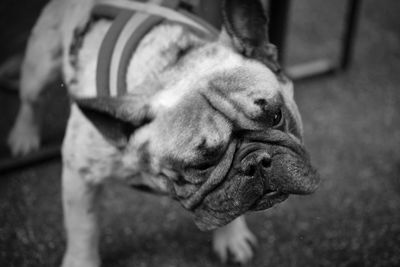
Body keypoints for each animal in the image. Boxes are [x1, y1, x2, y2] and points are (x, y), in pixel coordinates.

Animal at [7, 0, 318, 264]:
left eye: (276, 116)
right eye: (202, 164)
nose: (256, 161)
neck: (169, 69)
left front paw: (232, 237)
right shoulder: (80, 175)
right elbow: (83, 230)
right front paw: (80, 261)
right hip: (40, 63)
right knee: (31, 100)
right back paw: (23, 137)